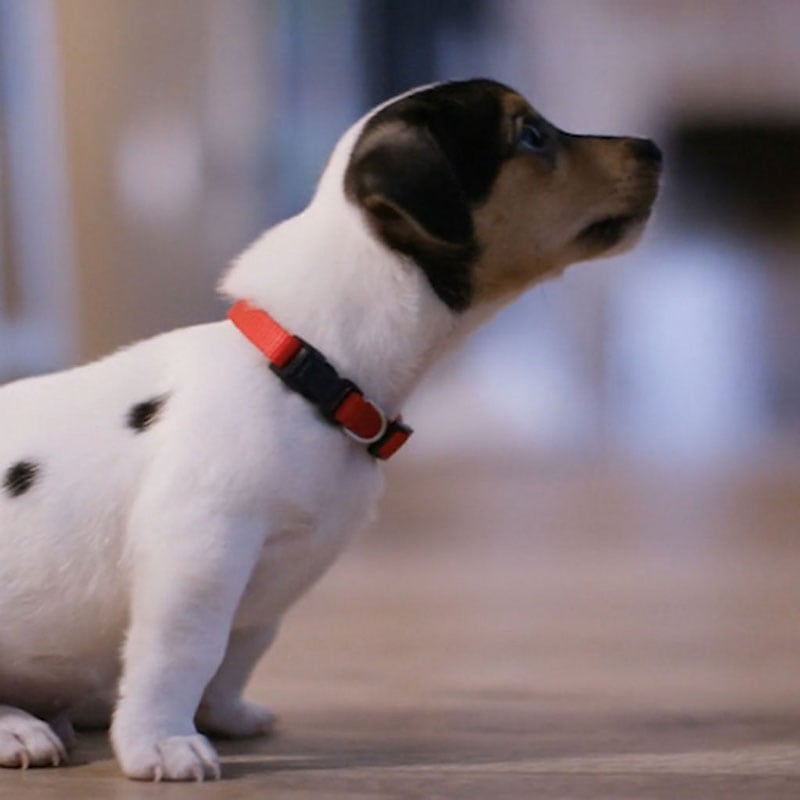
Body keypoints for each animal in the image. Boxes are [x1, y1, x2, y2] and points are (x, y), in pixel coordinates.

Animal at [0, 78, 664, 780]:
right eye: (532, 136)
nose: (654, 148)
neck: (311, 367)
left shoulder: (270, 587)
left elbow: (238, 652)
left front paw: (224, 715)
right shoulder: (198, 556)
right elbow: (180, 656)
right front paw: (162, 741)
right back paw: (20, 729)